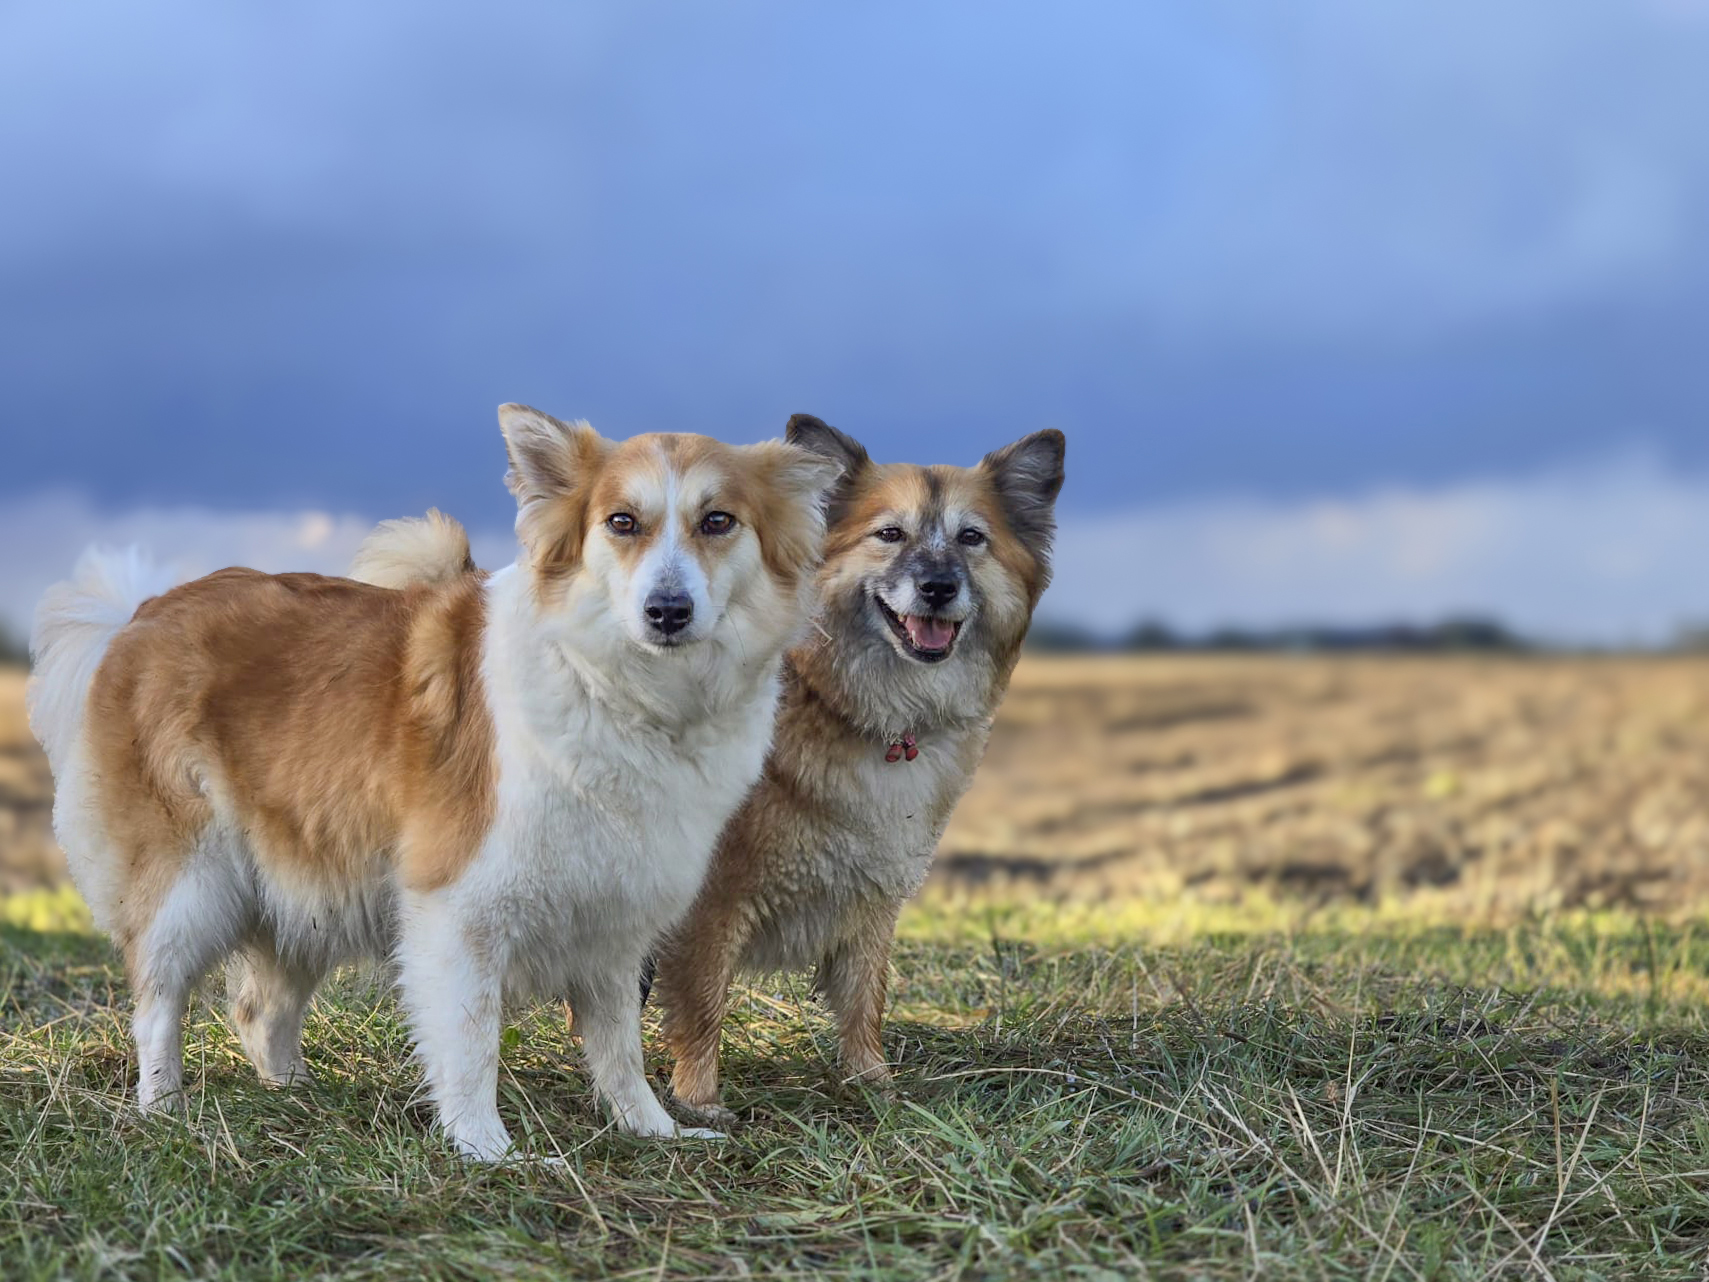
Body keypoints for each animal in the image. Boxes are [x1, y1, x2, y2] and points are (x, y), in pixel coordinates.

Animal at [20, 403, 833, 1162]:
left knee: (261, 1010)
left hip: (306, 879)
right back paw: (165, 1110)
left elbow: (620, 1048)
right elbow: (471, 1042)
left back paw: (301, 1096)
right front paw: (487, 1150)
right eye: (621, 522)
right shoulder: (457, 908)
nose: (667, 611)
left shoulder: (611, 919)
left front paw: (653, 1131)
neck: (616, 687)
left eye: (718, 521)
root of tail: (138, 615)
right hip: (189, 884)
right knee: (158, 1003)